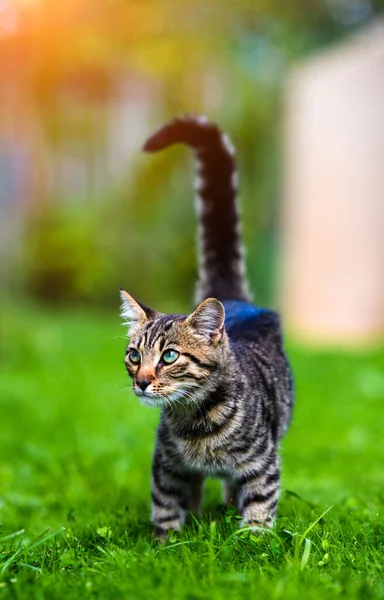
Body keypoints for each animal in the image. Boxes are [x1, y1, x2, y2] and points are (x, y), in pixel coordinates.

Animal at [121, 116, 294, 540]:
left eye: (169, 357)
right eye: (134, 356)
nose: (142, 381)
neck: (195, 421)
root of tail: (233, 300)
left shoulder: (263, 463)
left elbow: (260, 506)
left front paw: (254, 542)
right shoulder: (166, 464)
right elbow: (166, 506)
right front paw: (166, 543)